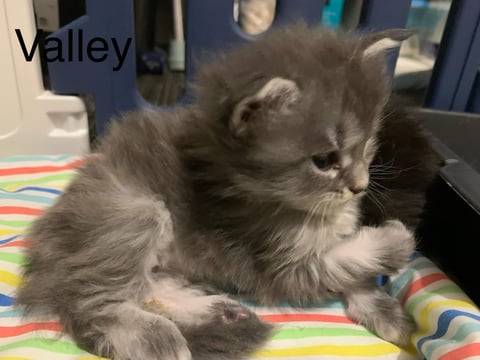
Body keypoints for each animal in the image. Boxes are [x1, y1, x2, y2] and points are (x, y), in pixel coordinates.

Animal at [15, 26, 436, 360]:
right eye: (324, 160)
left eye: (369, 143)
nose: (360, 186)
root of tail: (45, 248)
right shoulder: (284, 266)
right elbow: (348, 262)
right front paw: (397, 238)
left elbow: (356, 274)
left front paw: (385, 310)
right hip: (135, 211)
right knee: (91, 302)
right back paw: (157, 338)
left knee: (146, 288)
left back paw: (220, 314)